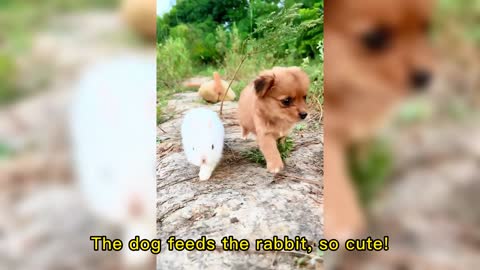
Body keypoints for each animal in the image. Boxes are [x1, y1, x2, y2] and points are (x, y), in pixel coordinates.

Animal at [324, 0, 436, 240]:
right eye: (374, 39)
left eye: (427, 28)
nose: (425, 77)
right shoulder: (330, 134)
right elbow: (334, 174)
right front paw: (342, 216)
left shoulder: (366, 127)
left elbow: (364, 154)